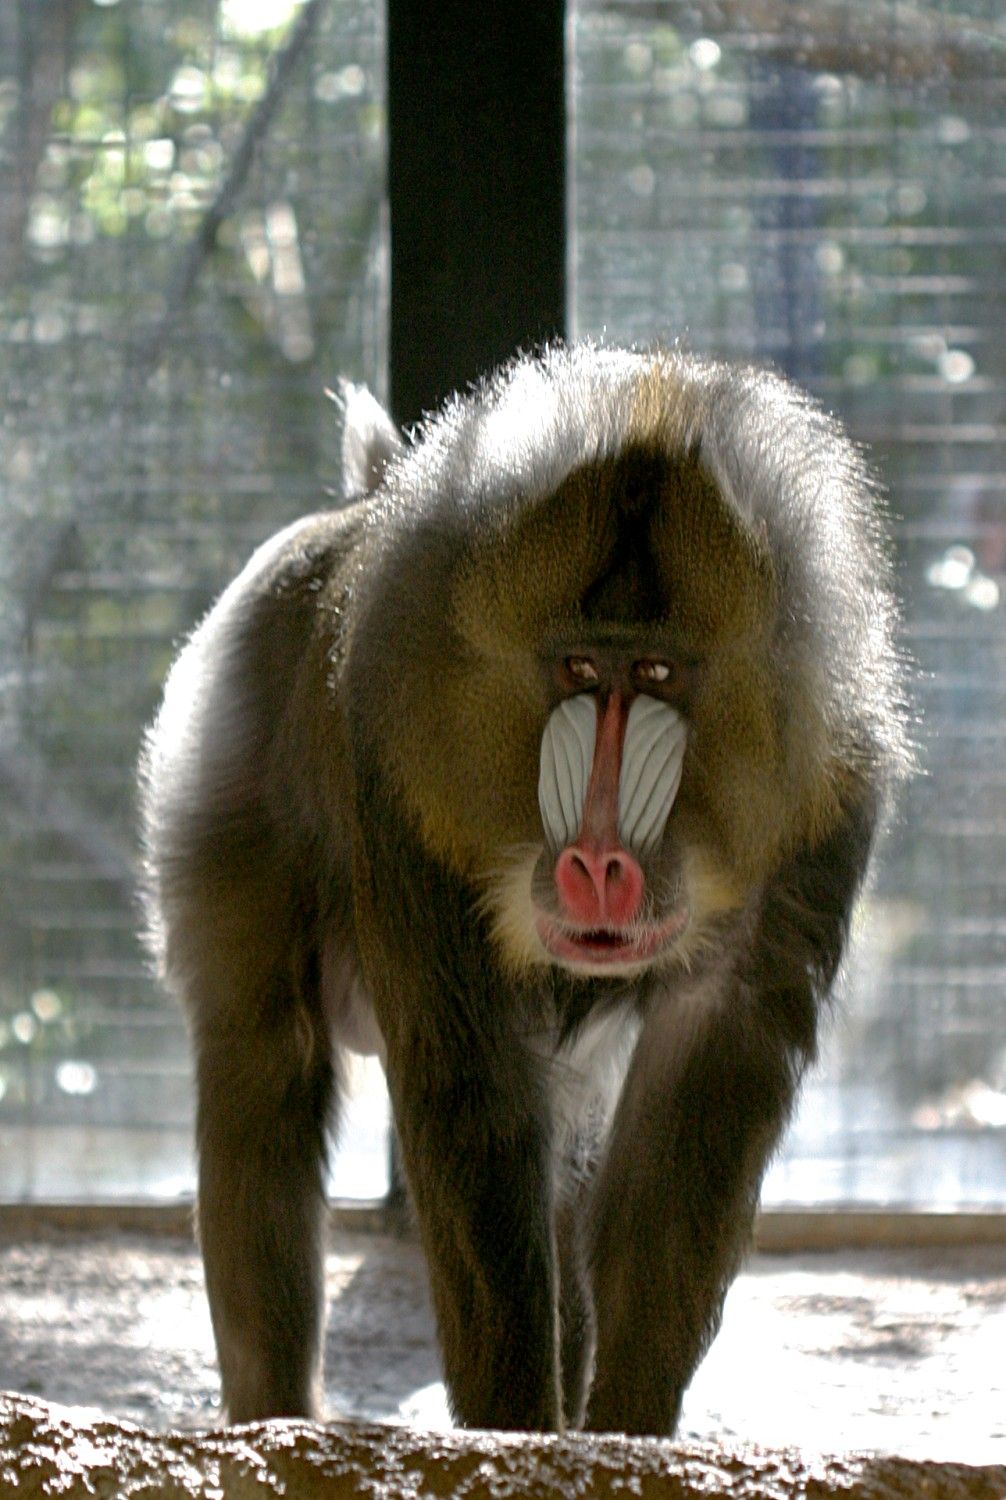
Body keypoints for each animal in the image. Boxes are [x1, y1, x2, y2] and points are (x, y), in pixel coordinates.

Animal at [139, 343, 907, 1436]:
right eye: (579, 667)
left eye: (657, 674)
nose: (598, 867)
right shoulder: (407, 790)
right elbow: (476, 1103)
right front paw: (514, 1438)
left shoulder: (819, 812)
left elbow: (694, 1115)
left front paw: (624, 1434)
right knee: (262, 1069)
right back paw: (271, 1417)